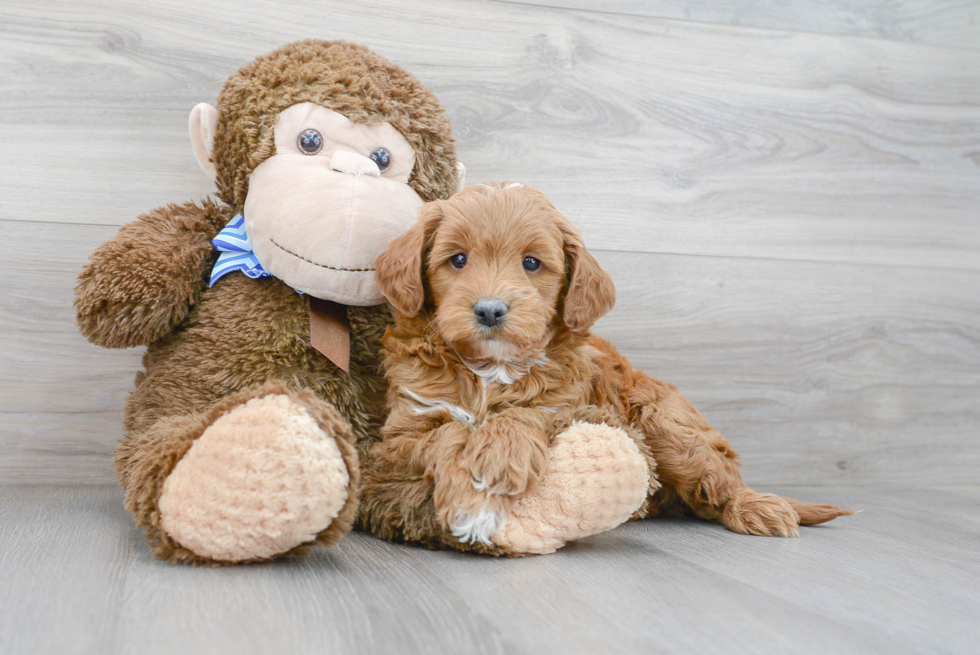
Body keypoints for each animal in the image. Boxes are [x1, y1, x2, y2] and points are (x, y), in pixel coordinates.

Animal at [364, 182, 848, 556]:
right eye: (458, 259)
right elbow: (449, 433)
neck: (490, 369)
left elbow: (526, 413)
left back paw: (758, 507)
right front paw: (475, 502)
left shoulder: (566, 405)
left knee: (718, 480)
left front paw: (500, 454)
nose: (489, 310)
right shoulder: (402, 434)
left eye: (531, 262)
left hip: (666, 424)